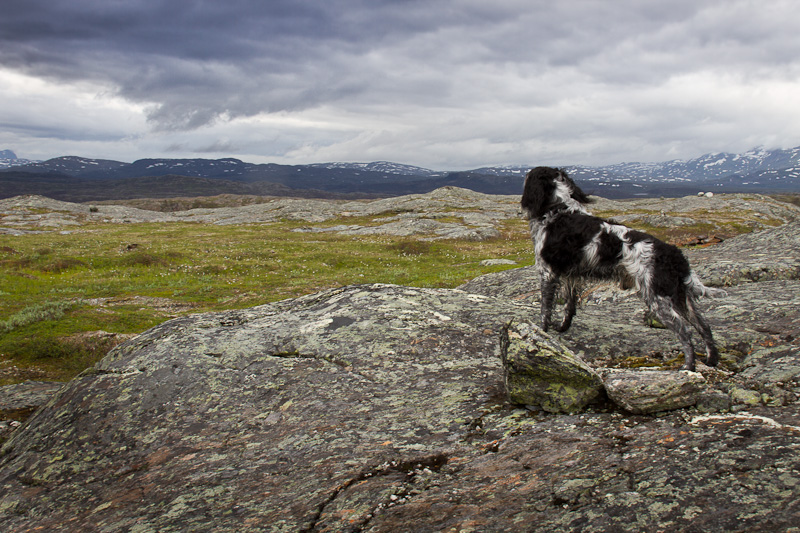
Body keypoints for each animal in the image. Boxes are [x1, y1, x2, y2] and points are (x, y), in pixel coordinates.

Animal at [520, 166, 724, 370]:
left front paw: (542, 332)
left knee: (685, 331)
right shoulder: (571, 276)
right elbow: (569, 307)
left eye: (528, 176)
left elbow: (545, 310)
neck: (558, 210)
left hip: (657, 299)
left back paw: (689, 366)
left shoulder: (547, 273)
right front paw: (562, 328)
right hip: (680, 297)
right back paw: (711, 360)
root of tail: (675, 255)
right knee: (704, 326)